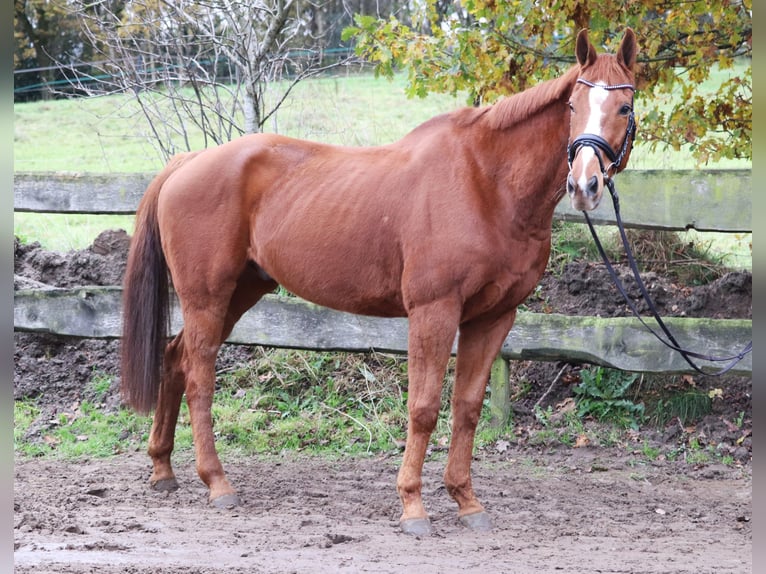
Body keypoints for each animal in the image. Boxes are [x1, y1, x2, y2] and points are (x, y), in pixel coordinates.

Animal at [118, 27, 636, 536]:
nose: (585, 184)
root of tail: (187, 162)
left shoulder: (493, 318)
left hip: (239, 293)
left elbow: (467, 408)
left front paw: (466, 502)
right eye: (573, 106)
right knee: (199, 376)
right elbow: (423, 408)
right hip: (207, 297)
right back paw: (217, 482)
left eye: (625, 108)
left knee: (175, 359)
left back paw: (163, 469)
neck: (485, 182)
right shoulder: (433, 311)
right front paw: (413, 507)